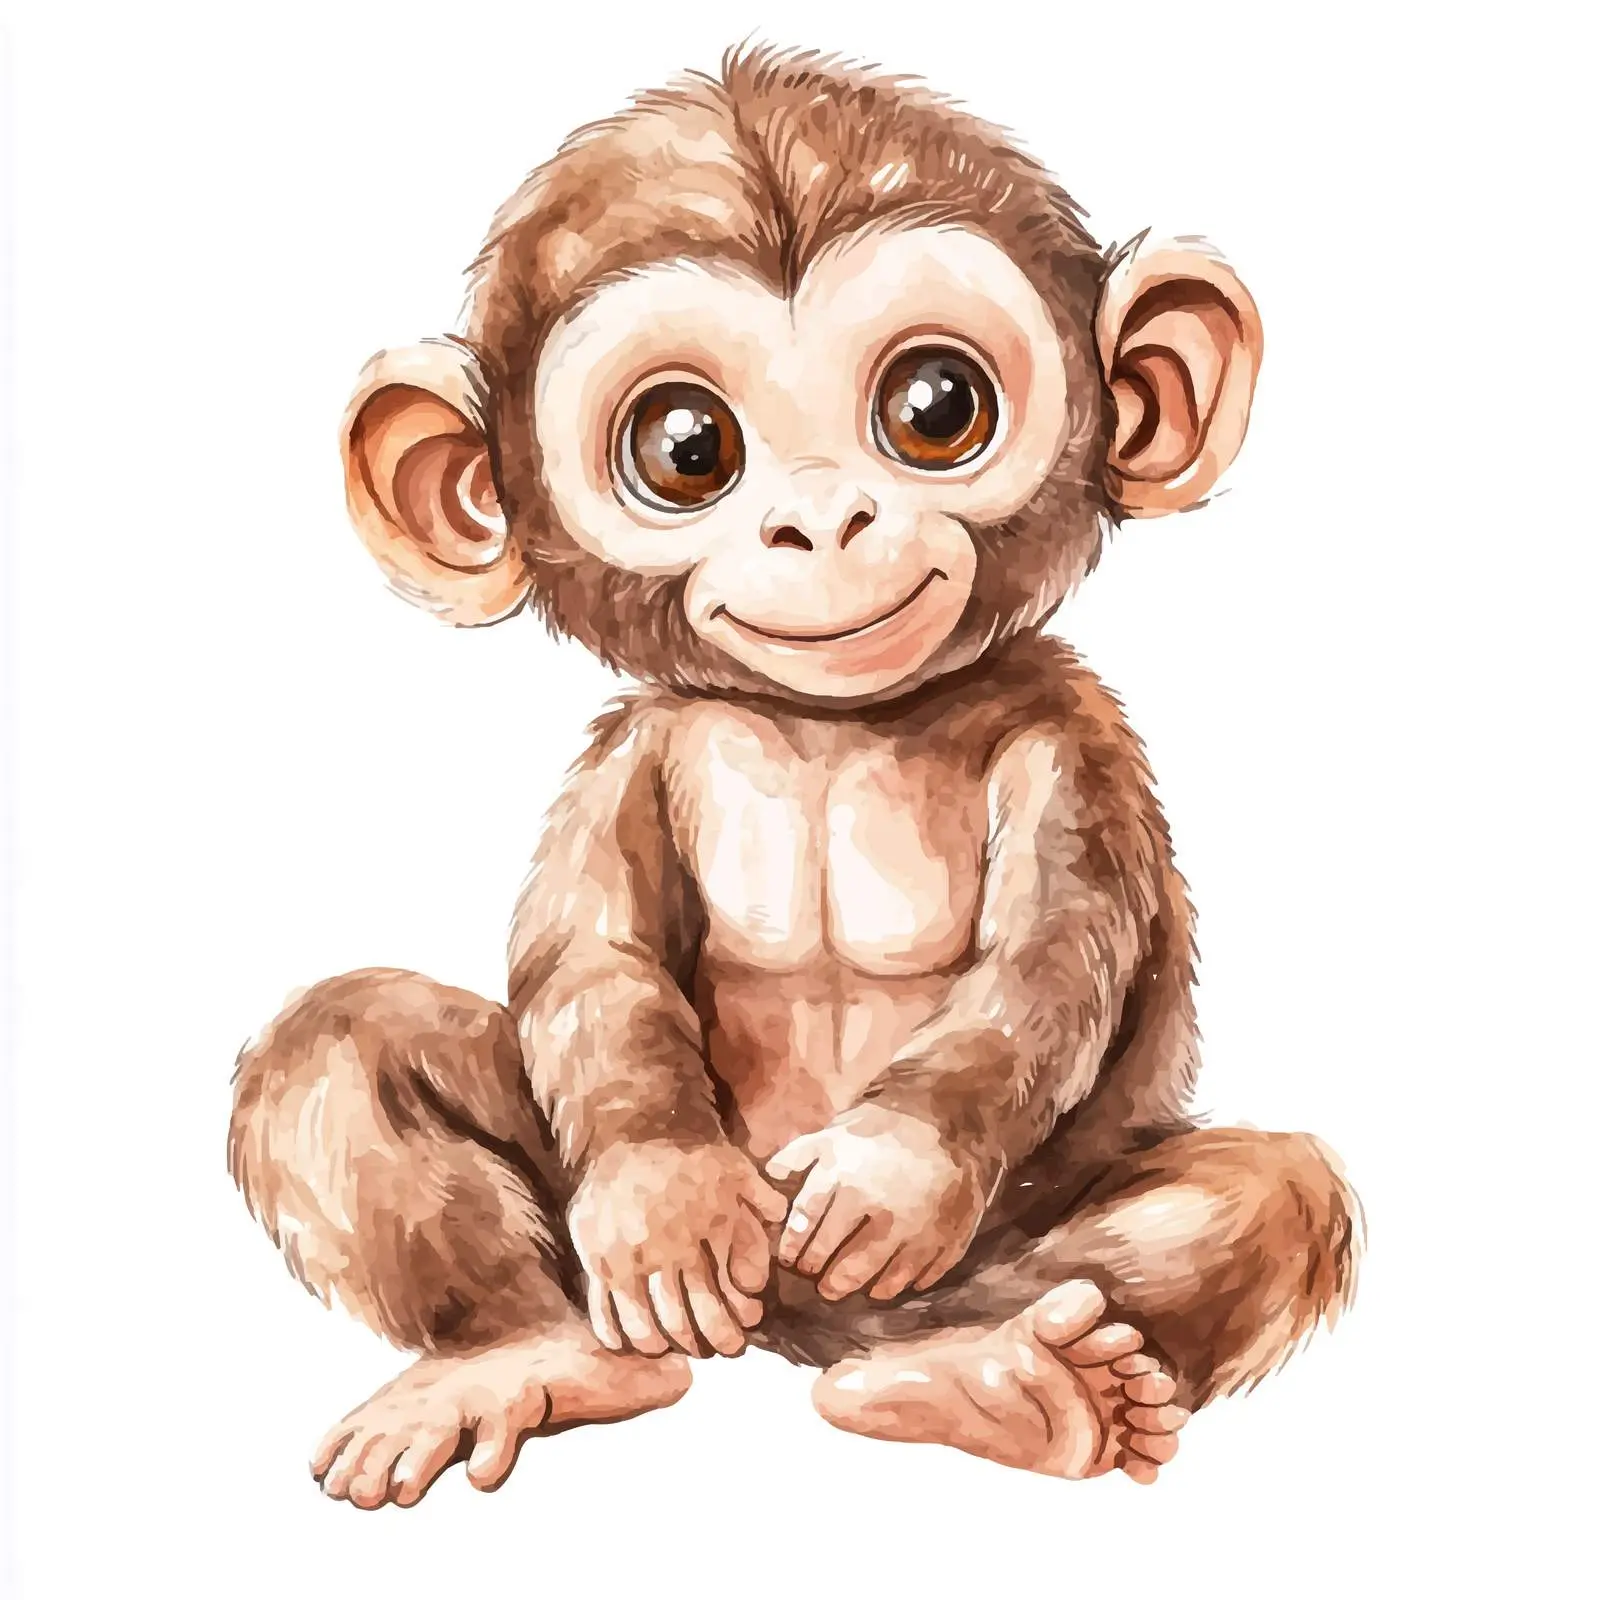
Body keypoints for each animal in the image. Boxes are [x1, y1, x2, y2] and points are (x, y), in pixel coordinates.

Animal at [228, 45, 1361, 1510]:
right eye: (686, 446)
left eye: (936, 409)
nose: (822, 516)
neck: (835, 721)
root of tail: (795, 1335)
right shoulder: (629, 750)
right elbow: (591, 959)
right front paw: (662, 1192)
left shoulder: (1076, 738)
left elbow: (1052, 960)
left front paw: (896, 1165)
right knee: (331, 1051)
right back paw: (524, 1354)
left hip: (954, 1272)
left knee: (1262, 1195)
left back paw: (1010, 1383)